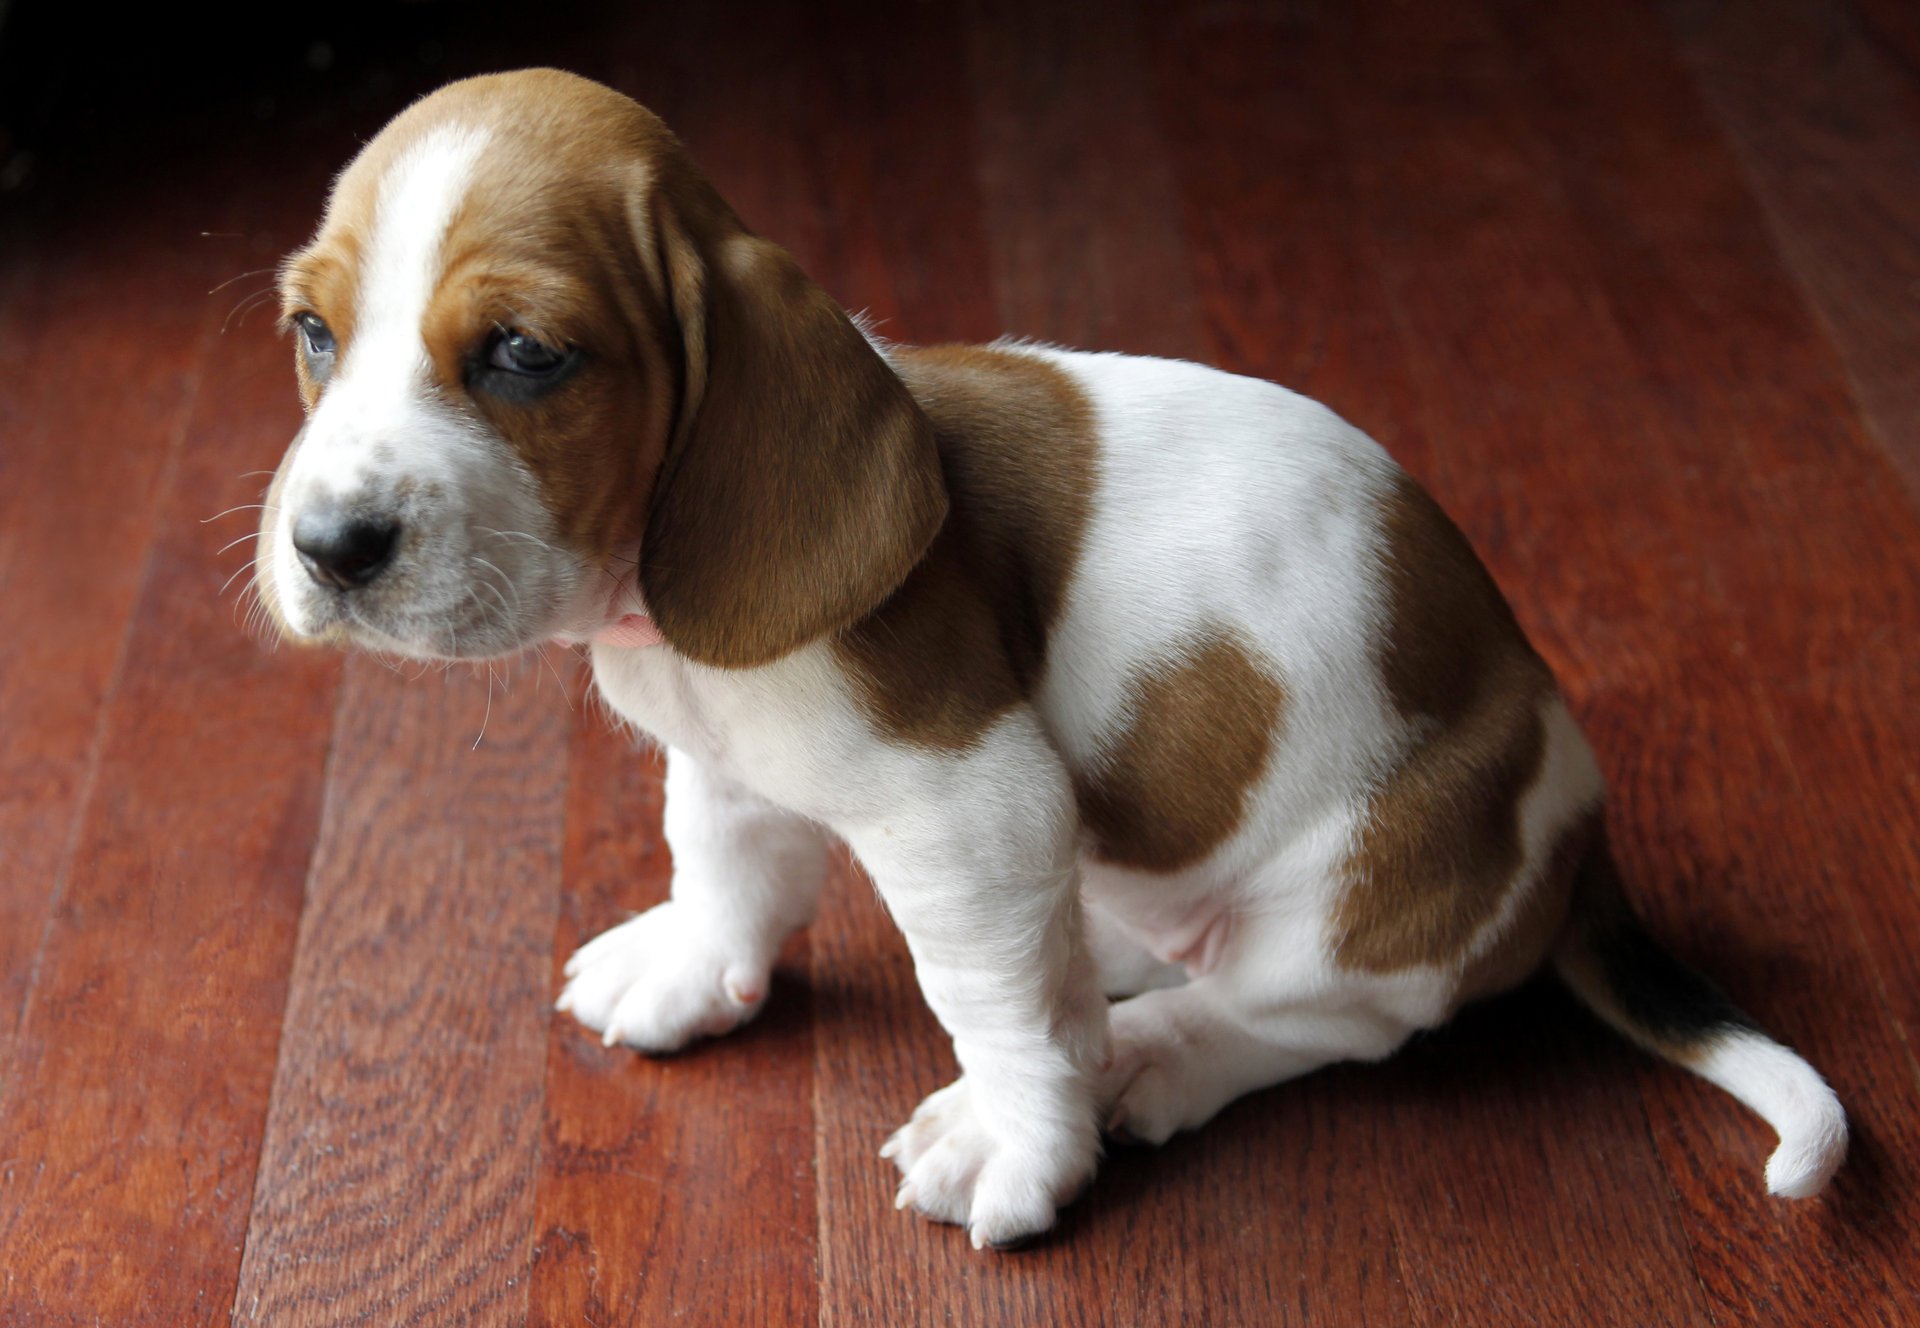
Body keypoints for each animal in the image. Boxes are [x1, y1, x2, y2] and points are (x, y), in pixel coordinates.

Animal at [255, 67, 1843, 1251]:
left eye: (525, 355)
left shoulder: (970, 814)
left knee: (1305, 1016)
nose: (330, 547)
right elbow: (726, 869)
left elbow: (994, 1004)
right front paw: (695, 966)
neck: (655, 601)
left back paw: (1143, 1054)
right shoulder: (730, 761)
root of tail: (1577, 832)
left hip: (1359, 895)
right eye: (314, 334)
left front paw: (1021, 1140)